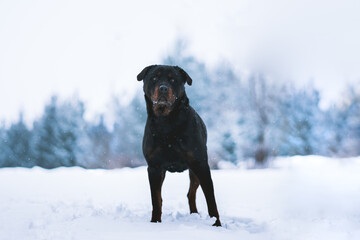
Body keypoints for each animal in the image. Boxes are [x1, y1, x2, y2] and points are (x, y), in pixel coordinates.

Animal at [136, 64, 221, 226]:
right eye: (154, 78)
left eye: (173, 79)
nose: (163, 88)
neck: (166, 123)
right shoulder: (154, 167)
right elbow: (155, 199)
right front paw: (155, 222)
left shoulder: (200, 164)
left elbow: (211, 200)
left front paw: (217, 224)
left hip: (194, 171)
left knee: (191, 193)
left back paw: (194, 214)